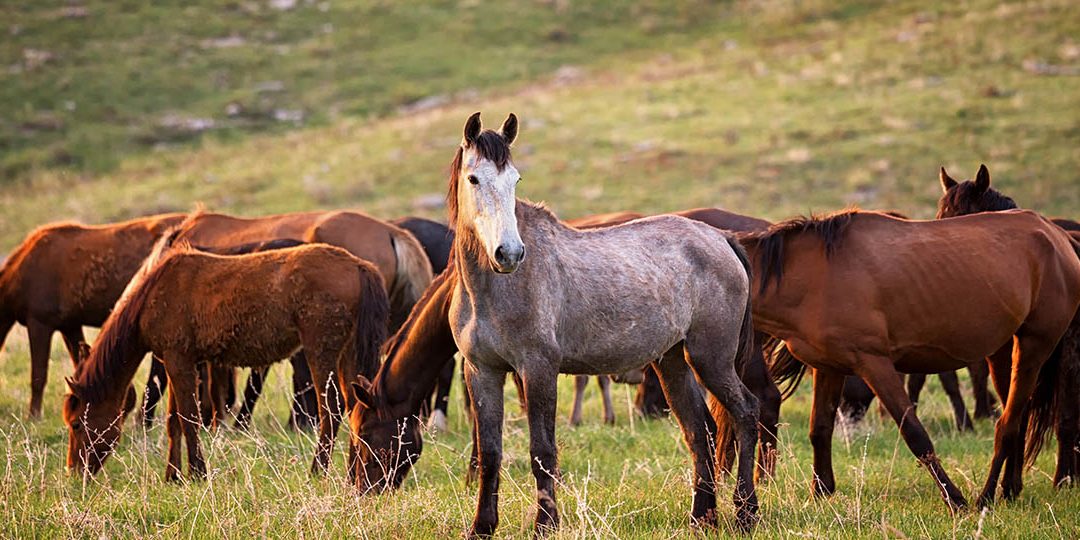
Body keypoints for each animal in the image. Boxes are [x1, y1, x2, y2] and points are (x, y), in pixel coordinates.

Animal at [63, 231, 389, 480]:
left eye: (76, 423)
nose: (75, 472)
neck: (152, 294)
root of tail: (358, 265)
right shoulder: (177, 360)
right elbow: (174, 421)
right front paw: (173, 476)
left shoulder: (178, 360)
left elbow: (189, 418)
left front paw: (197, 473)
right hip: (347, 353)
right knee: (354, 406)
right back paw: (352, 470)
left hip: (320, 349)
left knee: (330, 409)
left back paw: (317, 470)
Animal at [401, 112, 758, 536]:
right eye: (474, 179)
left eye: (515, 180)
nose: (510, 253)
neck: (492, 290)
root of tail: (722, 239)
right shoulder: (482, 371)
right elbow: (489, 452)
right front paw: (481, 527)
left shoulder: (538, 369)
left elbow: (542, 450)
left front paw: (545, 524)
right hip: (673, 361)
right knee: (698, 431)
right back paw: (702, 518)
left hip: (711, 358)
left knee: (746, 413)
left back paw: (746, 513)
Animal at [743, 209, 1080, 510]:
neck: (815, 275)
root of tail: (1057, 236)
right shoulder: (827, 367)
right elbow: (820, 429)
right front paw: (821, 492)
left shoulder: (875, 364)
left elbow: (916, 434)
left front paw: (954, 500)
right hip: (1003, 354)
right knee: (1018, 419)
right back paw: (1009, 490)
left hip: (1033, 347)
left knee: (1006, 425)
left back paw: (985, 497)